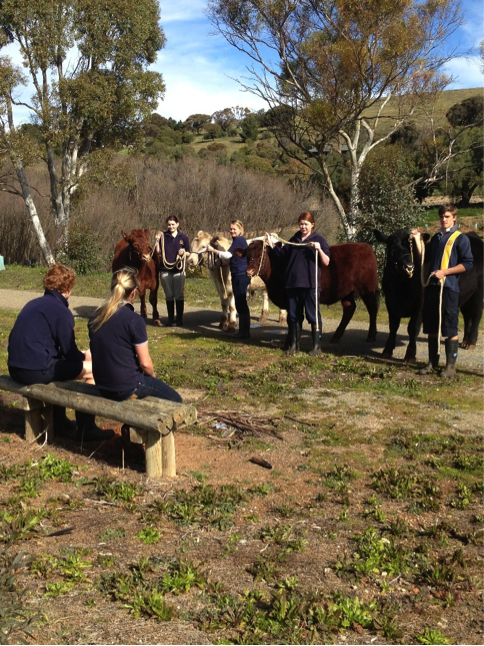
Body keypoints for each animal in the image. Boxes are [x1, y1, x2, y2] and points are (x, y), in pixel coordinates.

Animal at [236, 240, 380, 344]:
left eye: (261, 254)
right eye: (247, 256)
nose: (249, 271)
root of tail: (364, 245)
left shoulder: (290, 298)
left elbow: (292, 320)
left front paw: (289, 340)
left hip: (367, 288)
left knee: (372, 308)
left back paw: (371, 336)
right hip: (346, 291)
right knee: (349, 309)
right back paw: (336, 337)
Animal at [376, 228, 484, 362]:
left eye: (413, 249)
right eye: (393, 247)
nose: (409, 267)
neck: (400, 286)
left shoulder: (420, 304)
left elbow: (413, 328)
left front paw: (410, 355)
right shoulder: (390, 302)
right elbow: (393, 326)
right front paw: (387, 350)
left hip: (478, 292)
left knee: (477, 314)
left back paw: (471, 342)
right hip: (465, 295)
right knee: (467, 315)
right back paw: (464, 341)